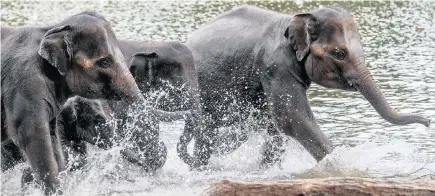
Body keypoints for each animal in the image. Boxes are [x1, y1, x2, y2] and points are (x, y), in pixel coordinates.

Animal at [179, 5, 430, 168]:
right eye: (339, 54)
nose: (428, 122)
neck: (295, 19)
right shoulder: (276, 66)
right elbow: (292, 117)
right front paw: (342, 166)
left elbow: (276, 125)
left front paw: (268, 170)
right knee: (206, 131)